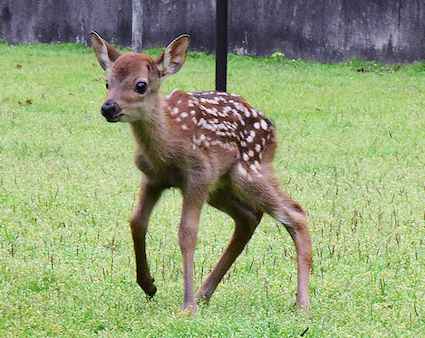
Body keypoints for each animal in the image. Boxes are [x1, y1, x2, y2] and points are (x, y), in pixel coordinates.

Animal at [91, 31, 312, 314]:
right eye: (108, 83)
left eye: (141, 85)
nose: (108, 108)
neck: (168, 147)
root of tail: (272, 130)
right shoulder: (152, 177)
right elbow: (137, 221)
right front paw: (149, 284)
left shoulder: (198, 174)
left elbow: (187, 232)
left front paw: (186, 306)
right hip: (221, 186)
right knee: (249, 217)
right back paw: (203, 294)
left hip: (248, 171)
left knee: (295, 213)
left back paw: (302, 302)